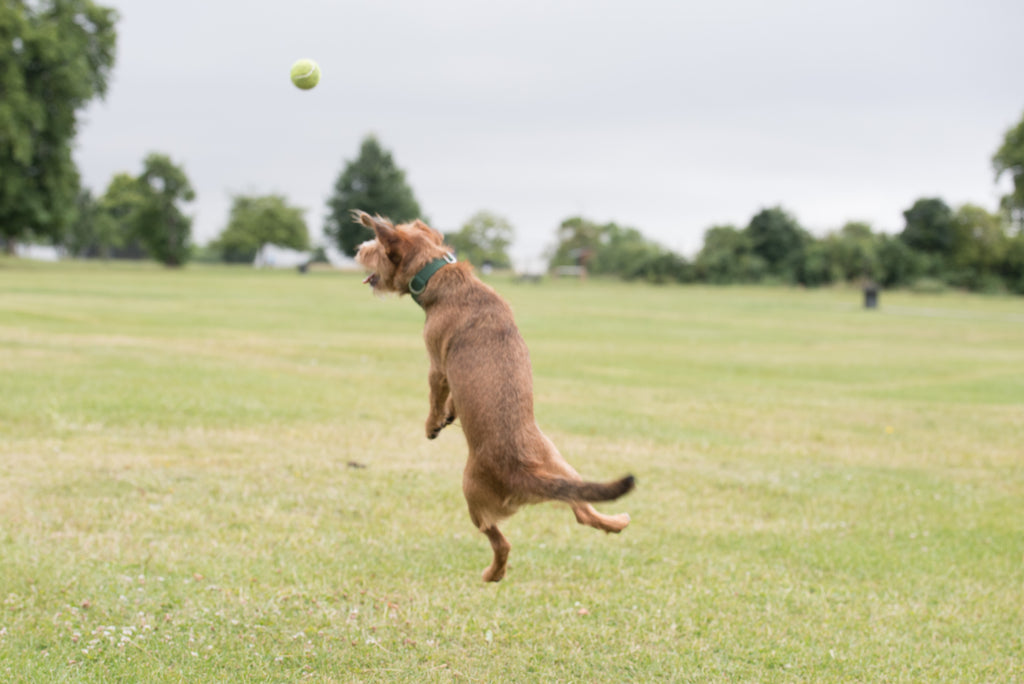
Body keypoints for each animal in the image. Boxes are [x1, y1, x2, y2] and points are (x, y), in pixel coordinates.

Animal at [356, 210, 634, 581]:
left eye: (375, 246)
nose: (358, 249)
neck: (440, 273)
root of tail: (524, 474)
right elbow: (450, 400)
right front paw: (449, 415)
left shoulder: (437, 365)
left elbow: (434, 396)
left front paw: (432, 424)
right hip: (564, 469)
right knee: (583, 512)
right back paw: (616, 522)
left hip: (472, 494)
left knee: (500, 541)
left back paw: (493, 573)